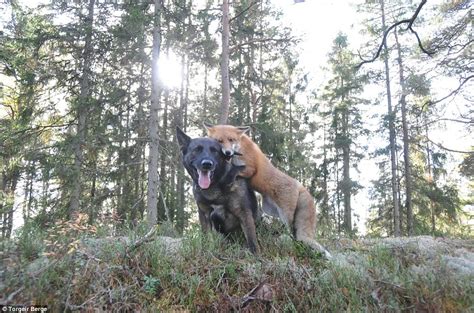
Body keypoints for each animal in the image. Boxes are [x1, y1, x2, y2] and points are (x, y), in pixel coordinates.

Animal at [206, 123, 332, 258]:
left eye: (231, 139)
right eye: (219, 141)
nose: (228, 152)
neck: (240, 148)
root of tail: (301, 186)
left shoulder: (250, 168)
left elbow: (235, 171)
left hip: (285, 214)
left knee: (291, 232)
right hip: (270, 209)